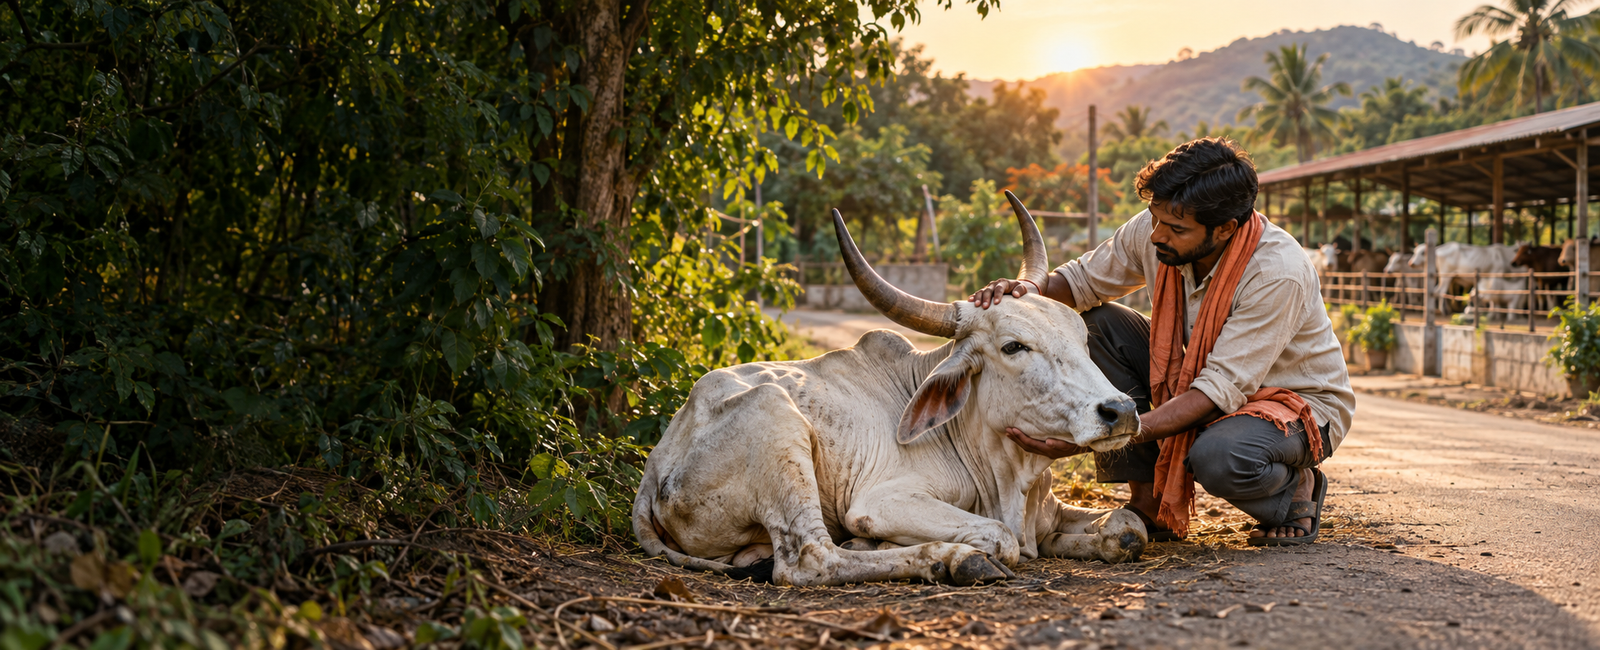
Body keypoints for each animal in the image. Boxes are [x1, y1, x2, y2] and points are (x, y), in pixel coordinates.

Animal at [633, 193, 1146, 587]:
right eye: (1014, 346)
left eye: (1082, 337)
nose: (1120, 410)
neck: (1007, 476)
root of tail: (658, 460)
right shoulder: (883, 500)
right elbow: (1001, 538)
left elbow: (1129, 527)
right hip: (775, 420)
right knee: (809, 560)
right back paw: (949, 559)